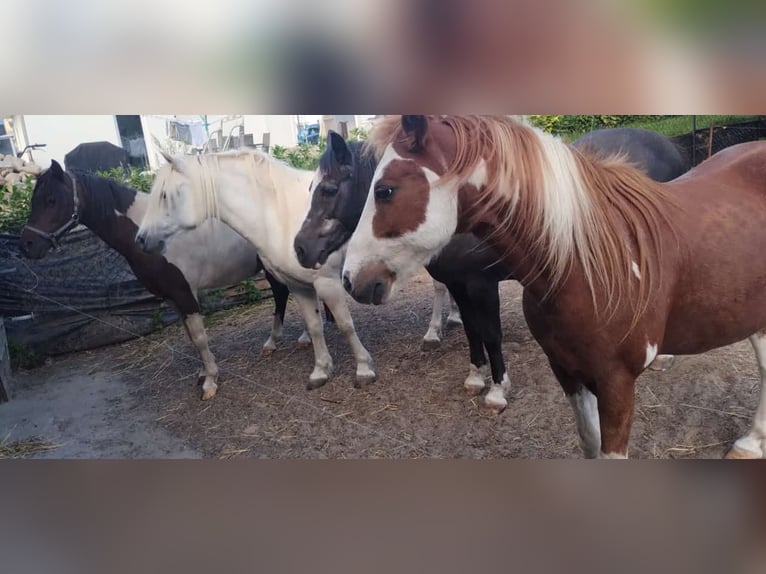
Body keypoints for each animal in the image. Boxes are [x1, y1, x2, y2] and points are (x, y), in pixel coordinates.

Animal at [19, 160, 313, 400]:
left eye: (51, 200)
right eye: (35, 199)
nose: (27, 245)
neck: (147, 232)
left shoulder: (184, 292)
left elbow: (199, 337)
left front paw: (210, 381)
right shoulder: (173, 298)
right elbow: (191, 337)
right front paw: (202, 372)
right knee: (283, 294)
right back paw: (281, 341)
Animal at [134, 149, 377, 391]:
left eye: (165, 195)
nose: (141, 239)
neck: (282, 216)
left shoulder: (327, 282)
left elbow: (346, 326)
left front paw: (363, 368)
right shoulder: (299, 286)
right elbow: (315, 326)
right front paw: (321, 370)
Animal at [294, 129, 682, 412]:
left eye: (328, 188)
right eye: (310, 188)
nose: (300, 248)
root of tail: (668, 144)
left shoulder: (482, 285)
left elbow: (492, 334)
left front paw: (497, 390)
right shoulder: (459, 286)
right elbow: (472, 331)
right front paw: (476, 377)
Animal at [342, 115, 766, 459]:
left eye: (385, 190)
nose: (351, 279)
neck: (587, 265)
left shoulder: (617, 385)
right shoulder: (567, 371)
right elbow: (588, 443)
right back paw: (751, 442)